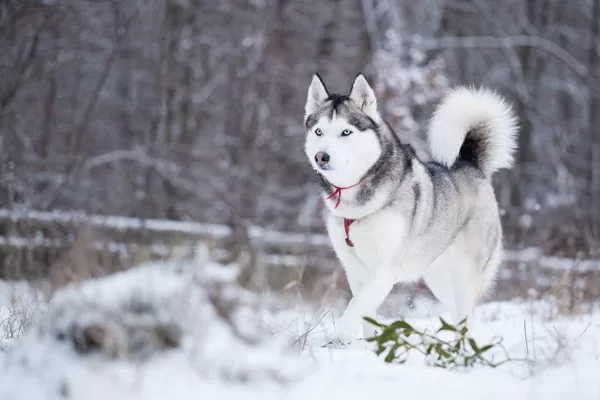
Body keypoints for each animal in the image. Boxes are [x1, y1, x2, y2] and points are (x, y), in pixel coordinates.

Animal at [302, 74, 516, 346]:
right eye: (318, 131)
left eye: (346, 132)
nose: (321, 156)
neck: (357, 202)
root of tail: (470, 164)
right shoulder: (355, 269)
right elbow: (365, 310)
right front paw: (369, 345)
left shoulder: (385, 268)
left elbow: (357, 305)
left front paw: (339, 338)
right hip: (439, 279)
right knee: (457, 313)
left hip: (465, 276)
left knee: (467, 316)